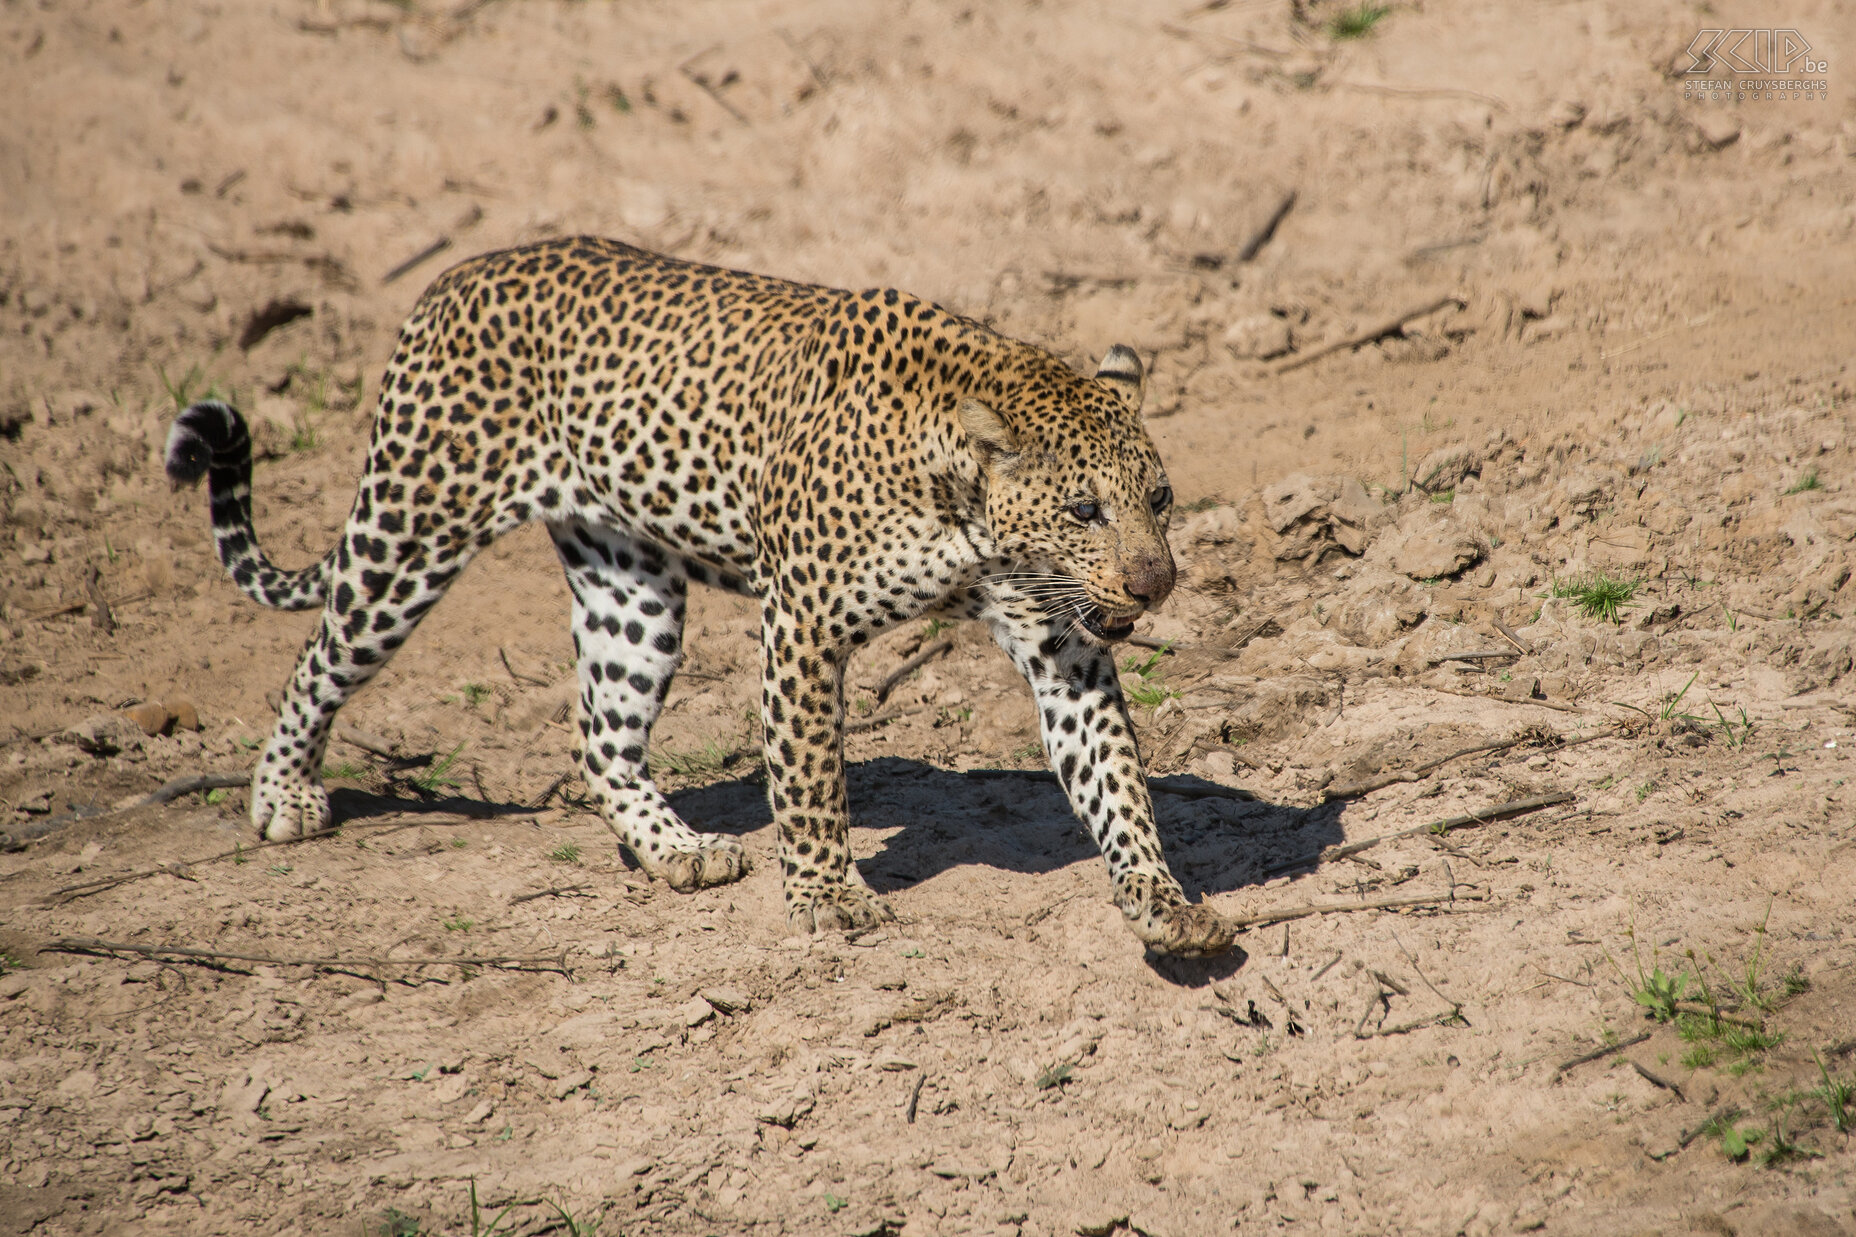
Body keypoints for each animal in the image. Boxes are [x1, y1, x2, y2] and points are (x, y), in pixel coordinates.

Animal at [159, 237, 1232, 950]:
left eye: (1160, 498)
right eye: (1087, 508)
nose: (1157, 580)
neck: (967, 513)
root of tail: (452, 278)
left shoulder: (1065, 649)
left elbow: (1114, 780)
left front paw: (1162, 899)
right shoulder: (803, 624)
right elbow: (810, 777)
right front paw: (828, 896)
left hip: (629, 586)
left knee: (601, 735)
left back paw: (677, 848)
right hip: (412, 529)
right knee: (320, 658)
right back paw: (282, 794)